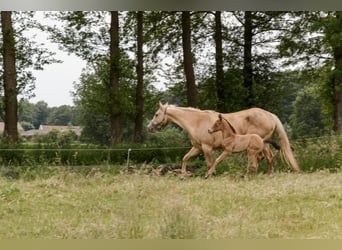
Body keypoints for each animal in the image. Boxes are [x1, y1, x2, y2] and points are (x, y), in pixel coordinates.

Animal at [147, 102, 300, 178]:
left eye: (156, 114)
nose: (149, 128)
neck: (197, 122)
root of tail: (270, 115)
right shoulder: (197, 148)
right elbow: (185, 158)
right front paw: (183, 175)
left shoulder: (207, 148)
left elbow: (210, 163)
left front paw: (210, 175)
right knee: (263, 158)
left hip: (264, 143)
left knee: (268, 157)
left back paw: (268, 174)